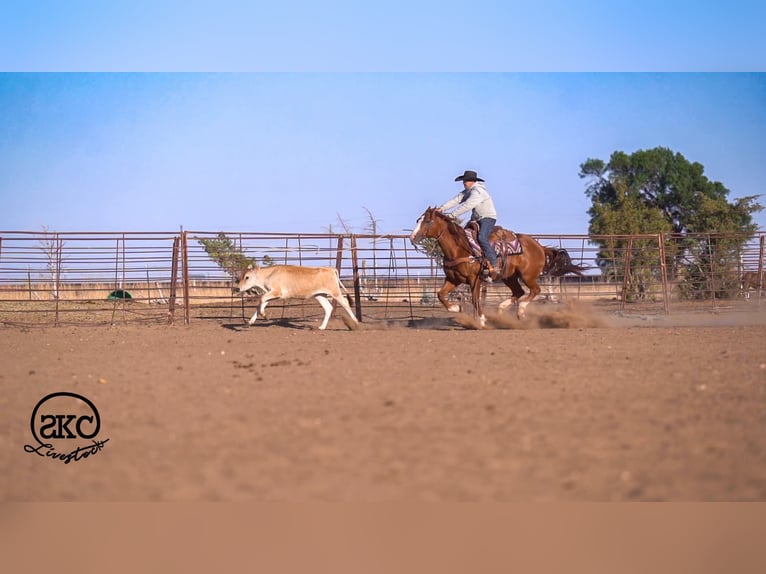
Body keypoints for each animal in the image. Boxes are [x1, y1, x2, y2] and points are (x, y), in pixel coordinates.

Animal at [410, 207, 547, 325]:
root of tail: (539, 246)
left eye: (427, 221)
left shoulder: (474, 279)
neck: (459, 249)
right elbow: (440, 294)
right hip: (509, 277)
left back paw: (521, 310)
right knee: (519, 291)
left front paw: (481, 319)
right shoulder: (453, 279)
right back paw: (502, 310)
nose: (412, 237)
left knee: (535, 290)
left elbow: (475, 299)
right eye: (418, 220)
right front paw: (456, 308)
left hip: (527, 275)